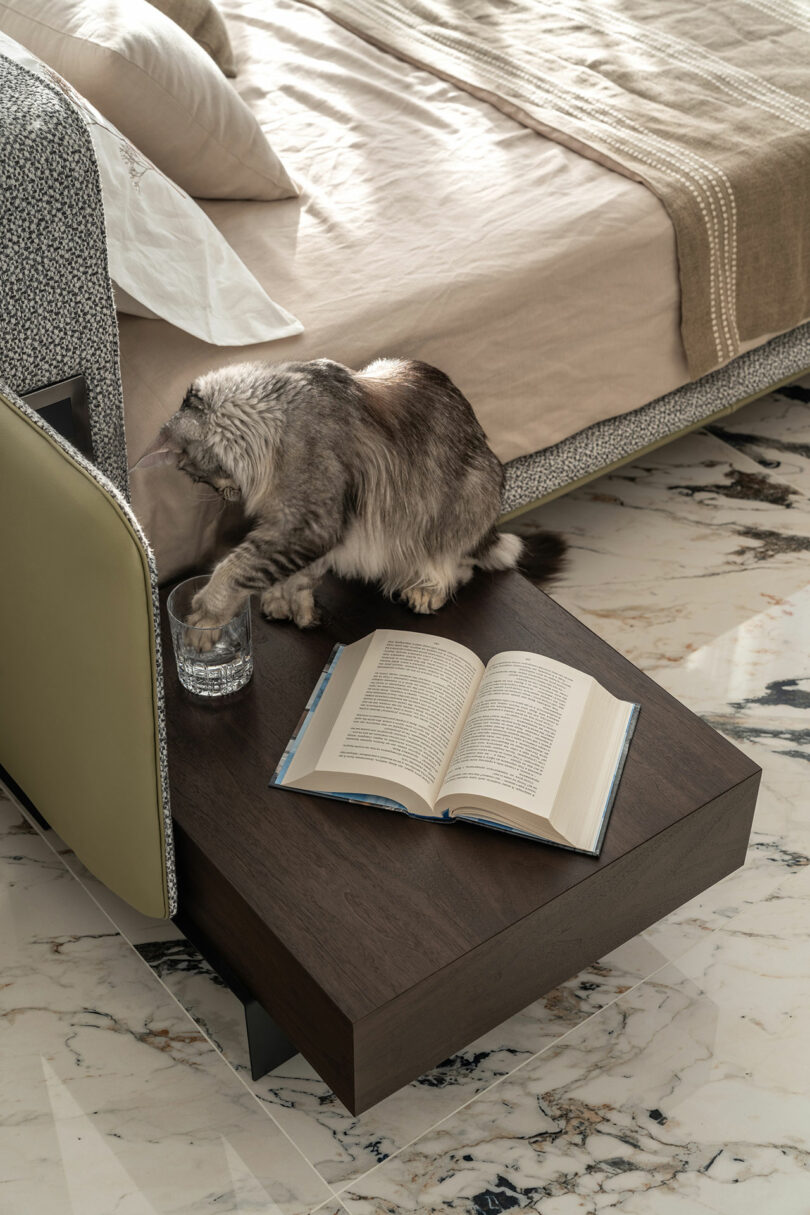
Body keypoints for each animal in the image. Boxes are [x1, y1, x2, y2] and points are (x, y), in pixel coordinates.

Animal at [161, 354, 568, 646]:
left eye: (199, 476)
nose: (225, 495)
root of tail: (490, 529)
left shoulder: (309, 520)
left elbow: (234, 568)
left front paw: (205, 617)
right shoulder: (317, 523)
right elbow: (300, 573)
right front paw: (289, 603)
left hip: (462, 500)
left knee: (460, 564)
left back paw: (426, 589)